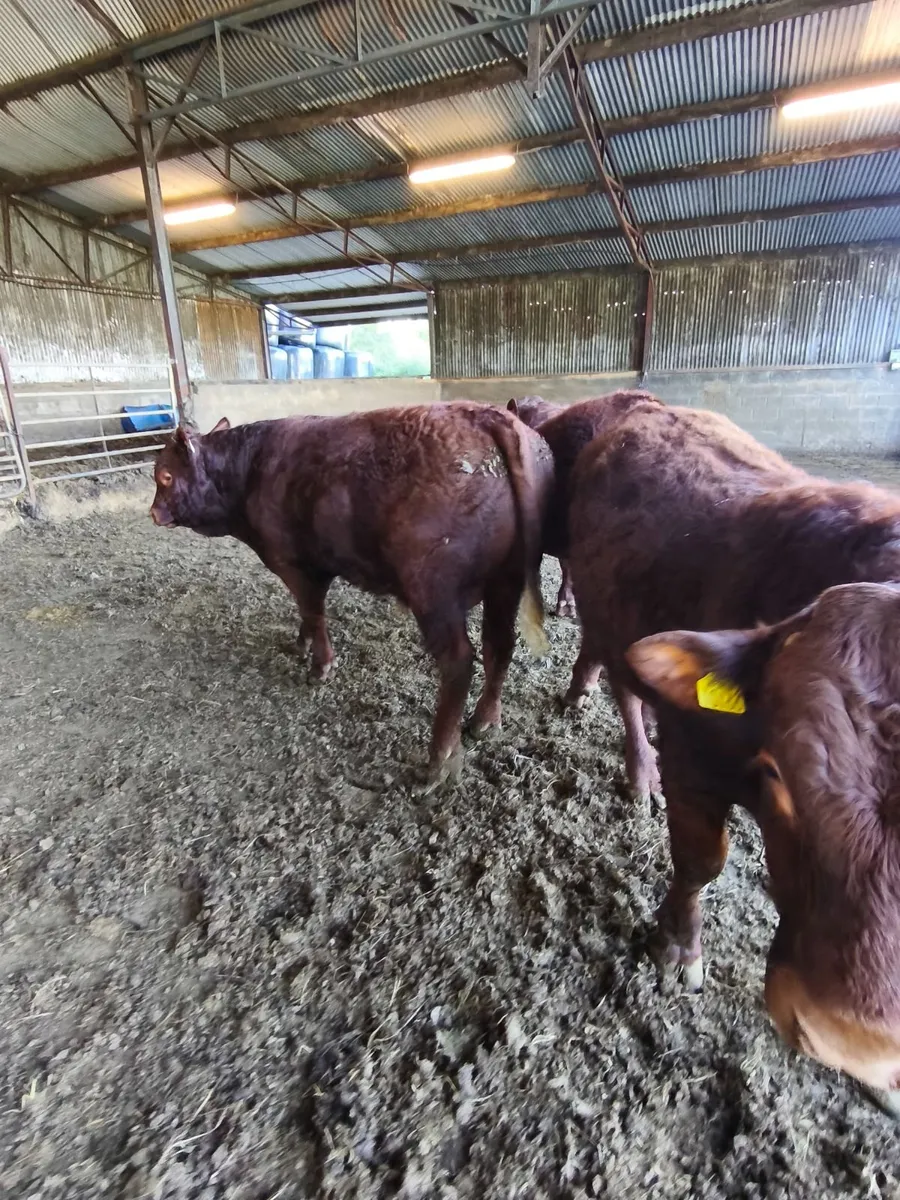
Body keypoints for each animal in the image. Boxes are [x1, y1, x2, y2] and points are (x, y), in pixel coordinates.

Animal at [150, 403, 554, 787]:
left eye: (165, 475)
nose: (153, 512)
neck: (251, 469)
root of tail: (484, 414)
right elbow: (307, 614)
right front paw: (300, 645)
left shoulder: (295, 564)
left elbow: (313, 612)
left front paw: (319, 666)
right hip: (505, 582)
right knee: (499, 646)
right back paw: (485, 720)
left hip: (433, 591)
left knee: (458, 661)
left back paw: (438, 762)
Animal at [564, 401, 900, 1106]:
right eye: (781, 774)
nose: (852, 1045)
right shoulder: (694, 758)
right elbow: (700, 862)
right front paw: (677, 950)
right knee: (624, 692)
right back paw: (639, 772)